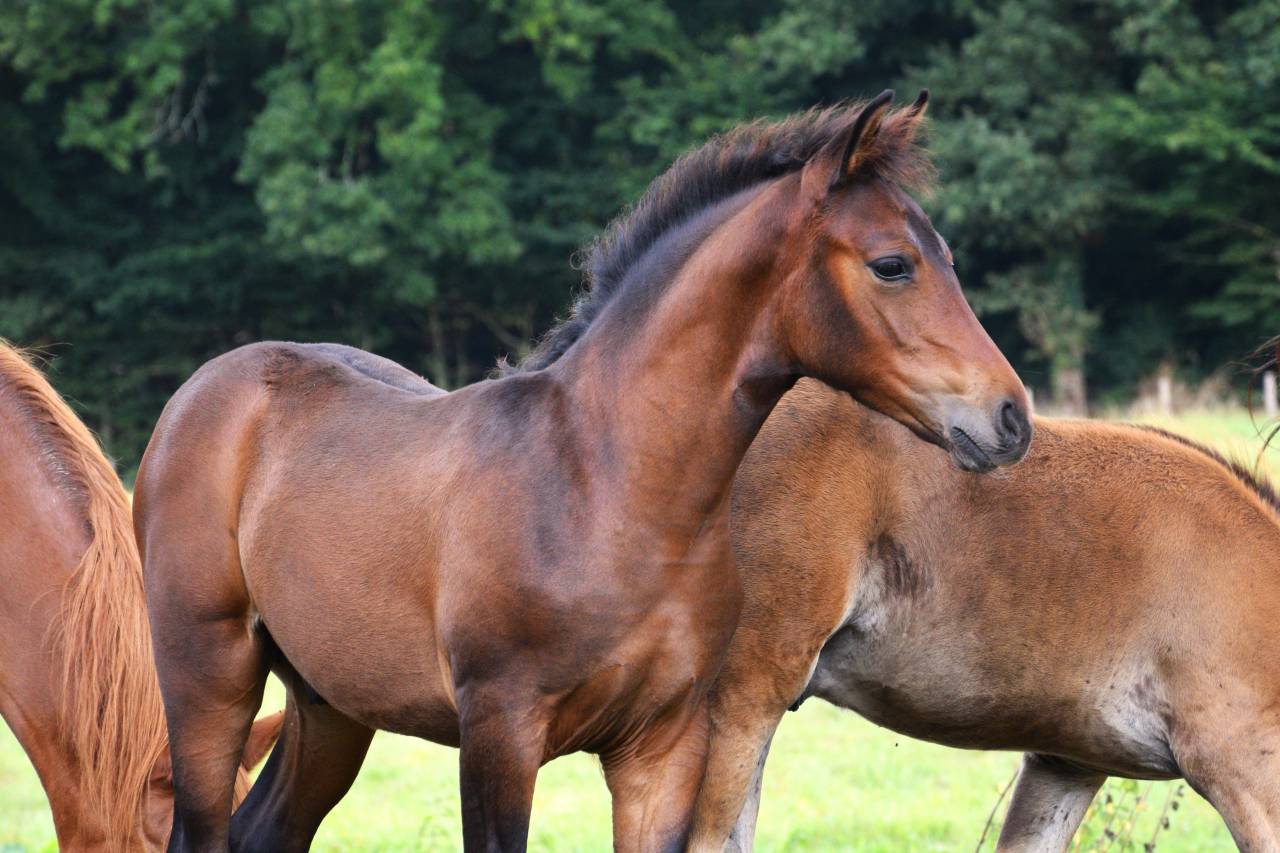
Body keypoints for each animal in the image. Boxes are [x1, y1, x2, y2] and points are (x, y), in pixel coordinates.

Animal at [134, 90, 1032, 853]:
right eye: (892, 264)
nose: (1011, 417)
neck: (611, 490)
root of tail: (204, 391)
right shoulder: (499, 730)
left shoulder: (661, 744)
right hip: (209, 675)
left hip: (329, 703)